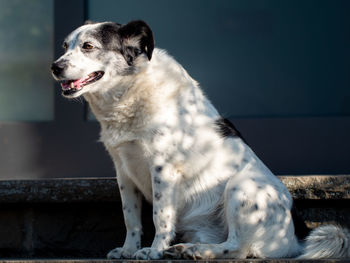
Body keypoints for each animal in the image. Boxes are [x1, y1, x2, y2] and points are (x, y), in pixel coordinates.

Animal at [50, 20, 348, 260]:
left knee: (239, 248)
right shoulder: (123, 171)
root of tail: (296, 237)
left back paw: (195, 251)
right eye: (65, 46)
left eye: (88, 46)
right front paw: (128, 250)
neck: (130, 93)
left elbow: (160, 217)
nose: (55, 67)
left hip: (240, 187)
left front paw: (153, 251)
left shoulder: (163, 169)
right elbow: (131, 218)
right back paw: (185, 249)